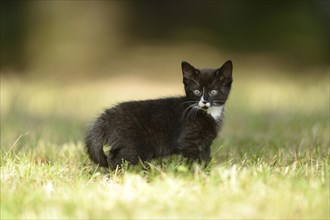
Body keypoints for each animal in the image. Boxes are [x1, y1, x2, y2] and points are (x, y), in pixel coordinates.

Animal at [86, 60, 233, 168]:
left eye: (214, 91)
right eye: (196, 91)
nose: (205, 101)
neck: (207, 113)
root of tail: (108, 116)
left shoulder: (206, 143)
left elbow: (205, 157)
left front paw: (206, 171)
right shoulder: (188, 140)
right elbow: (193, 159)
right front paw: (195, 174)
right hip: (133, 144)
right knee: (120, 157)